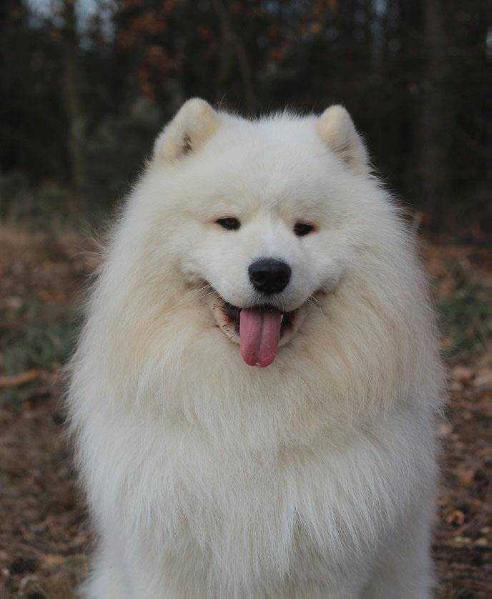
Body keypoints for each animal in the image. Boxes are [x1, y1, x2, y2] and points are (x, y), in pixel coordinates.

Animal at [68, 97, 442, 596]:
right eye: (228, 222)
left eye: (304, 228)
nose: (269, 272)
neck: (252, 417)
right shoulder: (171, 561)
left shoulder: (326, 562)